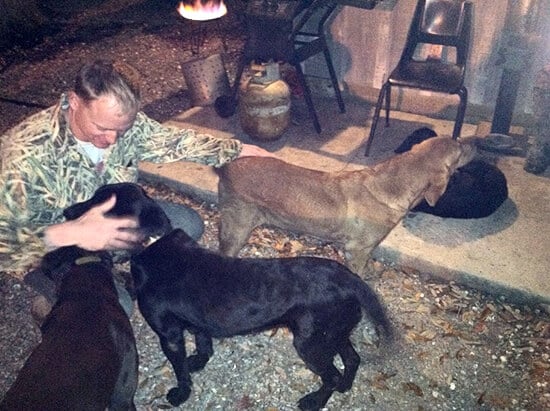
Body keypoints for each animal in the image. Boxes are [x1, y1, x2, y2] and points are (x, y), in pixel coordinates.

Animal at [132, 230, 394, 410]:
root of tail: (351, 278)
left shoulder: (169, 335)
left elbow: (180, 370)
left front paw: (181, 394)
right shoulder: (198, 322)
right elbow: (203, 341)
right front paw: (198, 361)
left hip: (311, 345)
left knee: (332, 375)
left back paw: (314, 402)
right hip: (332, 335)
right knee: (352, 359)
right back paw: (345, 387)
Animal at [218, 137, 476, 276]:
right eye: (459, 148)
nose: (477, 144)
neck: (392, 184)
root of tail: (225, 167)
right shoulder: (357, 249)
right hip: (236, 228)